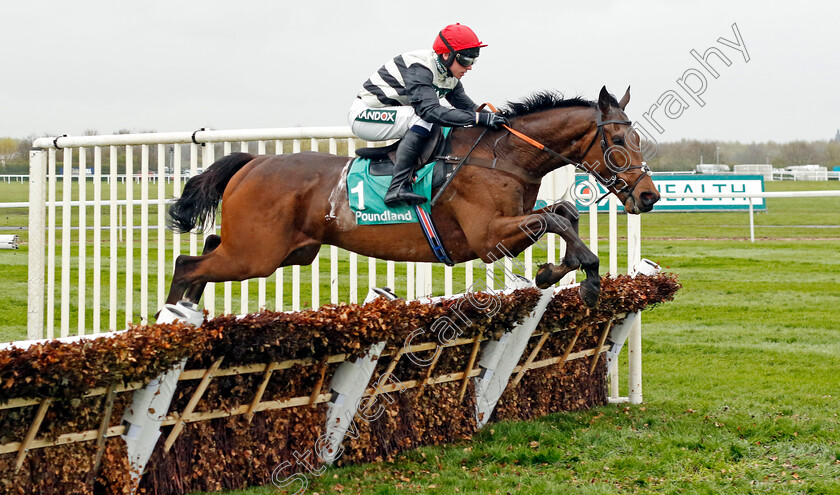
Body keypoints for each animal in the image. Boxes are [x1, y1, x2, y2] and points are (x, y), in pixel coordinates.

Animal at [164, 86, 660, 310]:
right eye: (619, 140)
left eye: (636, 137)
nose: (649, 196)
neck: (503, 156)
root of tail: (251, 163)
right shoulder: (486, 238)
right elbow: (555, 219)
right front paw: (588, 275)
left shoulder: (507, 228)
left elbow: (563, 212)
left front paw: (553, 270)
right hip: (256, 254)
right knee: (188, 263)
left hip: (287, 251)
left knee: (205, 251)